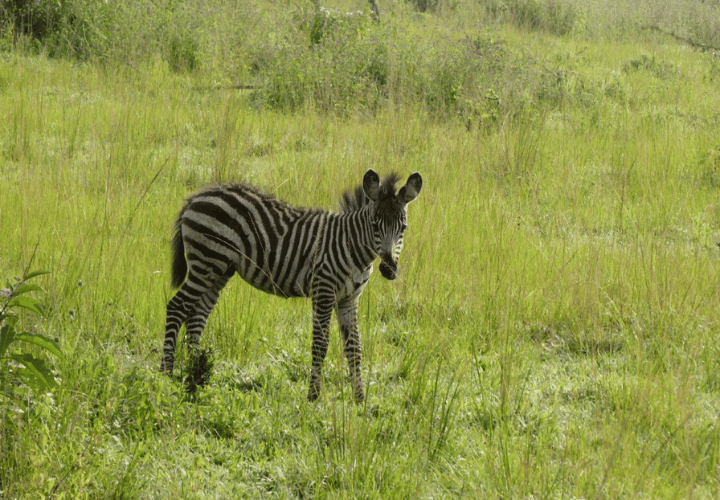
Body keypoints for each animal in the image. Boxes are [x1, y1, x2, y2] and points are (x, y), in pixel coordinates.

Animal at [161, 169, 423, 402]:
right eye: (375, 225)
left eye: (403, 228)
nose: (389, 269)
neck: (351, 246)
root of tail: (199, 195)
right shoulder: (324, 290)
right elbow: (320, 344)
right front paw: (313, 396)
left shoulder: (349, 298)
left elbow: (354, 347)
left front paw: (359, 399)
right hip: (206, 260)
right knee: (177, 307)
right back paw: (166, 374)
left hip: (220, 269)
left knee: (197, 315)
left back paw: (196, 374)